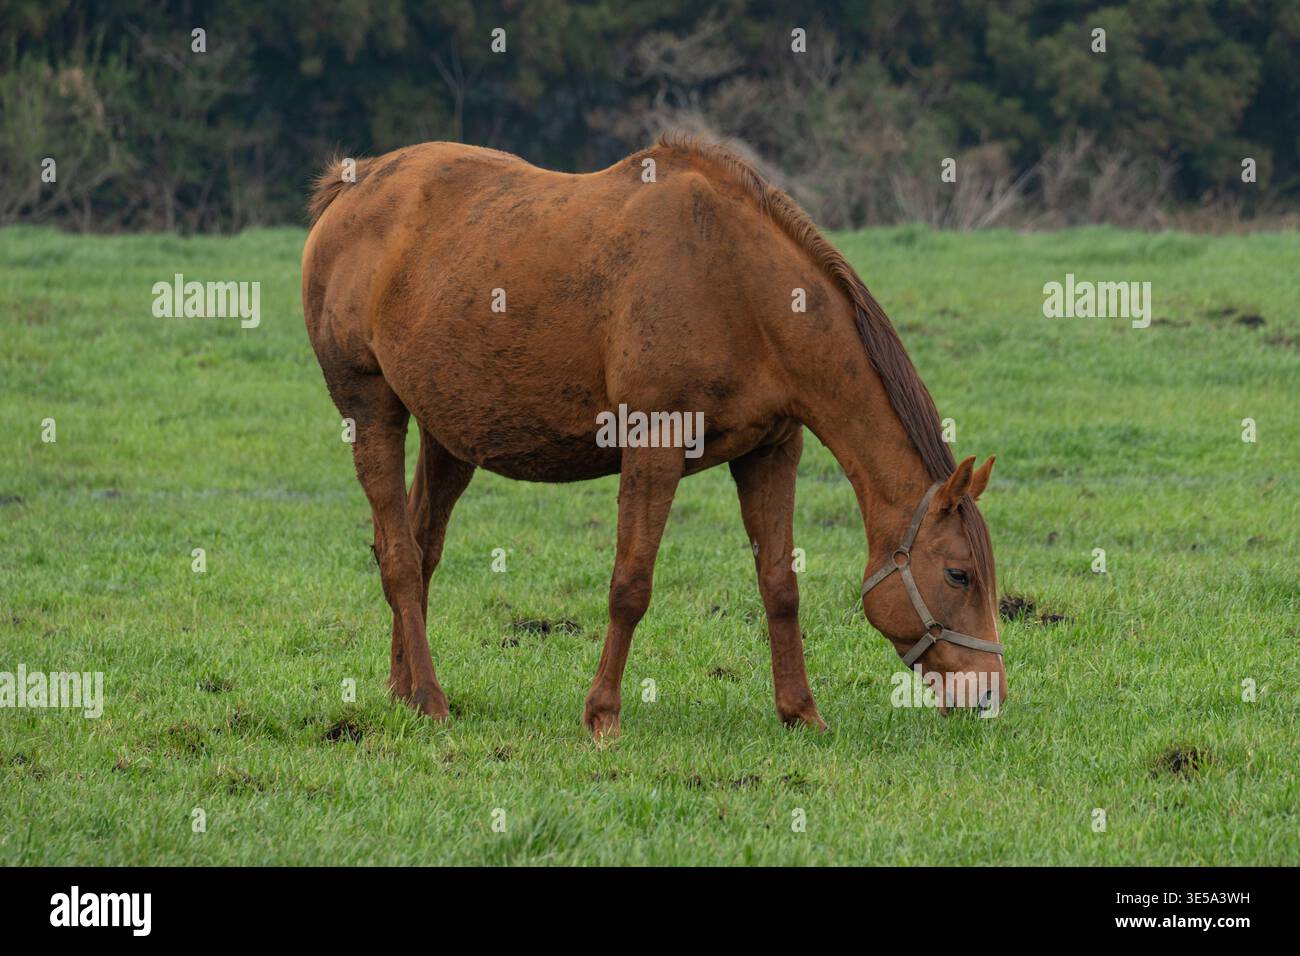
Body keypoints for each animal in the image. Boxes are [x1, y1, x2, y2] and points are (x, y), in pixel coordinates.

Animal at [301, 133, 1005, 739]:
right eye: (959, 574)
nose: (990, 692)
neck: (740, 286)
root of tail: (353, 186)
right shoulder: (653, 445)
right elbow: (630, 585)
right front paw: (602, 715)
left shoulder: (771, 452)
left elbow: (780, 586)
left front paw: (800, 712)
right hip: (370, 405)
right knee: (398, 556)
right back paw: (431, 698)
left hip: (449, 434)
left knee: (421, 550)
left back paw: (404, 689)